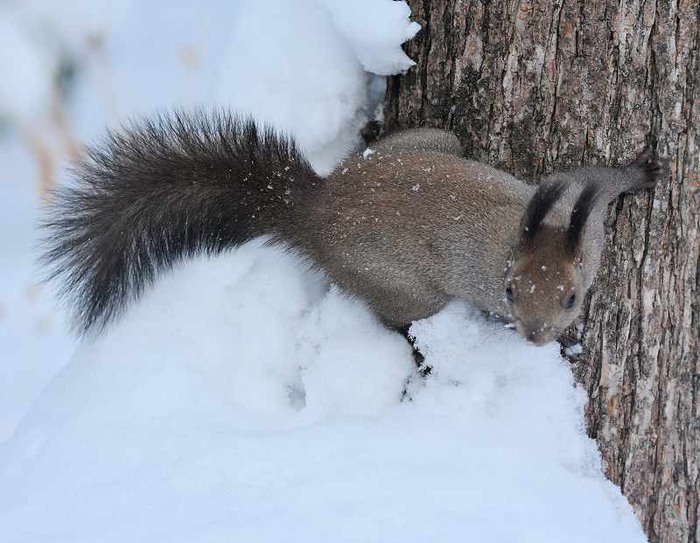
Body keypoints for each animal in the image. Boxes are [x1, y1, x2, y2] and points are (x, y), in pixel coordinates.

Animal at [39, 111, 660, 344]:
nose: (535, 336)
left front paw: (640, 172)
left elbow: (598, 178)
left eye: (571, 297)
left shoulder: (583, 214)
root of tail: (314, 210)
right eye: (510, 291)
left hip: (437, 141)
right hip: (399, 284)